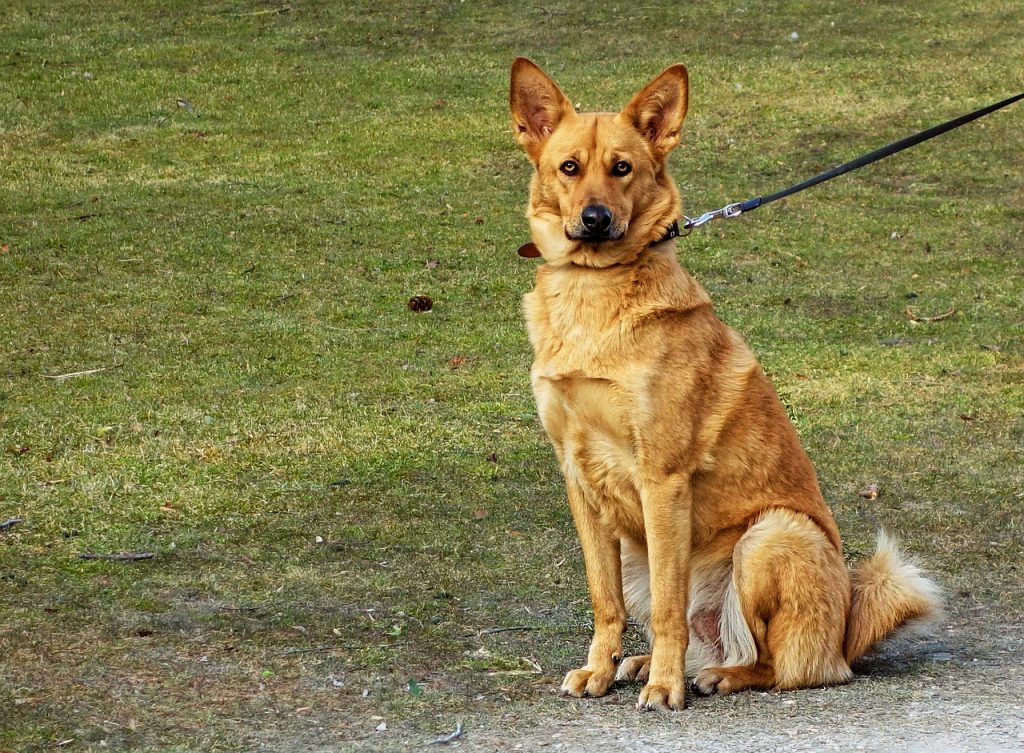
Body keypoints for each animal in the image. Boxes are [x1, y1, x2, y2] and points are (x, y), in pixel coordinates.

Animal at [507, 58, 937, 713]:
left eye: (622, 168)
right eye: (569, 167)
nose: (595, 219)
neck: (594, 293)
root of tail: (847, 631)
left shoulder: (662, 480)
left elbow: (667, 611)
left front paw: (665, 687)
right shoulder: (580, 479)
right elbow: (605, 601)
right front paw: (600, 670)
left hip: (770, 537)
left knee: (785, 665)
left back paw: (714, 675)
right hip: (642, 551)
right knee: (709, 635)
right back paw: (645, 663)